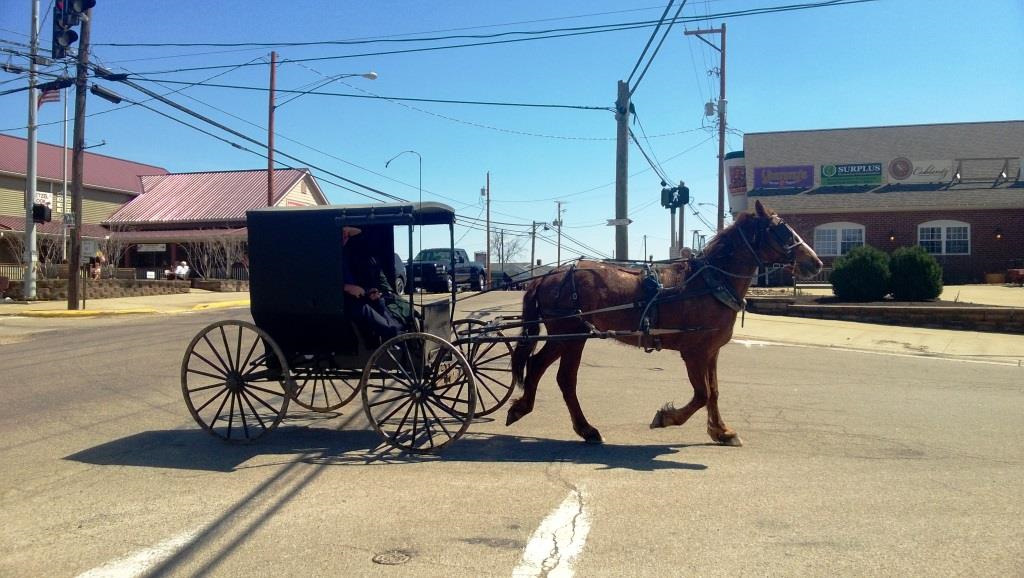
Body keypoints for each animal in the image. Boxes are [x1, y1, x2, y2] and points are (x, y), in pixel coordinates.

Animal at [509, 199, 823, 446]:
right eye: (781, 229)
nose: (816, 262)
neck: (710, 281)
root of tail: (546, 277)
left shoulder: (711, 352)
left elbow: (714, 392)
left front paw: (722, 432)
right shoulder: (694, 352)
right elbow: (701, 394)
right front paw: (666, 418)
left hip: (568, 336)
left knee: (544, 369)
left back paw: (536, 412)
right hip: (570, 335)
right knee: (559, 375)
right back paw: (576, 425)